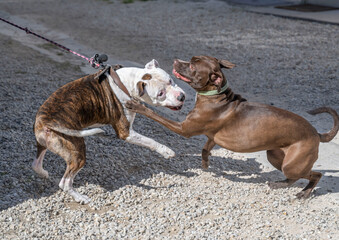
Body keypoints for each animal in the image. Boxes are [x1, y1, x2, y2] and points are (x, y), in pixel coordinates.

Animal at [127, 56, 339, 199]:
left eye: (193, 65)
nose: (176, 60)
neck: (214, 96)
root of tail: (316, 133)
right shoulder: (212, 137)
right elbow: (205, 149)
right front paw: (205, 164)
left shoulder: (184, 129)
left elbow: (155, 114)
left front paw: (138, 106)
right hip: (276, 156)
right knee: (293, 177)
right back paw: (279, 184)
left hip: (293, 163)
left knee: (315, 174)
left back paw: (304, 193)